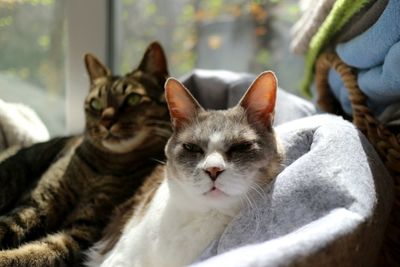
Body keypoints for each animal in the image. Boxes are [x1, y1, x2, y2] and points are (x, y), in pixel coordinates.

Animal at [0, 42, 170, 267]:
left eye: (133, 99)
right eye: (96, 104)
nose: (106, 121)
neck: (104, 166)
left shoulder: (81, 231)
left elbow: (33, 254)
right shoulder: (36, 204)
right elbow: (7, 226)